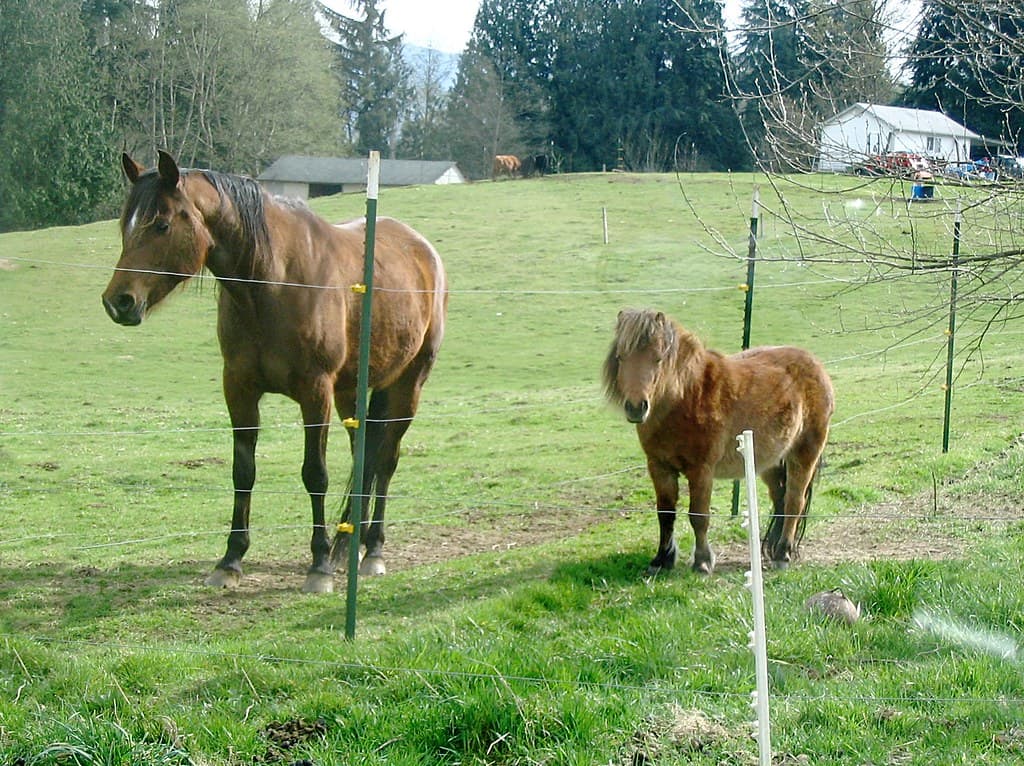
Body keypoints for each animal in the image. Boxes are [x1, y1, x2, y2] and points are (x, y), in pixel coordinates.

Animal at [102, 151, 447, 593]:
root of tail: (423, 250)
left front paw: (318, 566)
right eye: (125, 225)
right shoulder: (239, 388)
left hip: (408, 385)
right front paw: (231, 559)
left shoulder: (315, 393)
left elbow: (315, 474)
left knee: (385, 461)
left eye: (161, 225)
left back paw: (372, 550)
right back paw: (347, 544)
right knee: (364, 457)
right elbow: (243, 471)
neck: (273, 281)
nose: (119, 302)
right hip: (352, 391)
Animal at [603, 309, 834, 575]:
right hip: (770, 461)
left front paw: (702, 561)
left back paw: (782, 554)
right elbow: (666, 514)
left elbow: (698, 515)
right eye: (620, 357)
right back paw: (772, 549)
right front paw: (662, 560)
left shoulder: (701, 470)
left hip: (803, 454)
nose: (636, 407)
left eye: (658, 359)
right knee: (781, 498)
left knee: (795, 501)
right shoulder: (659, 467)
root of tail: (815, 365)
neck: (685, 397)